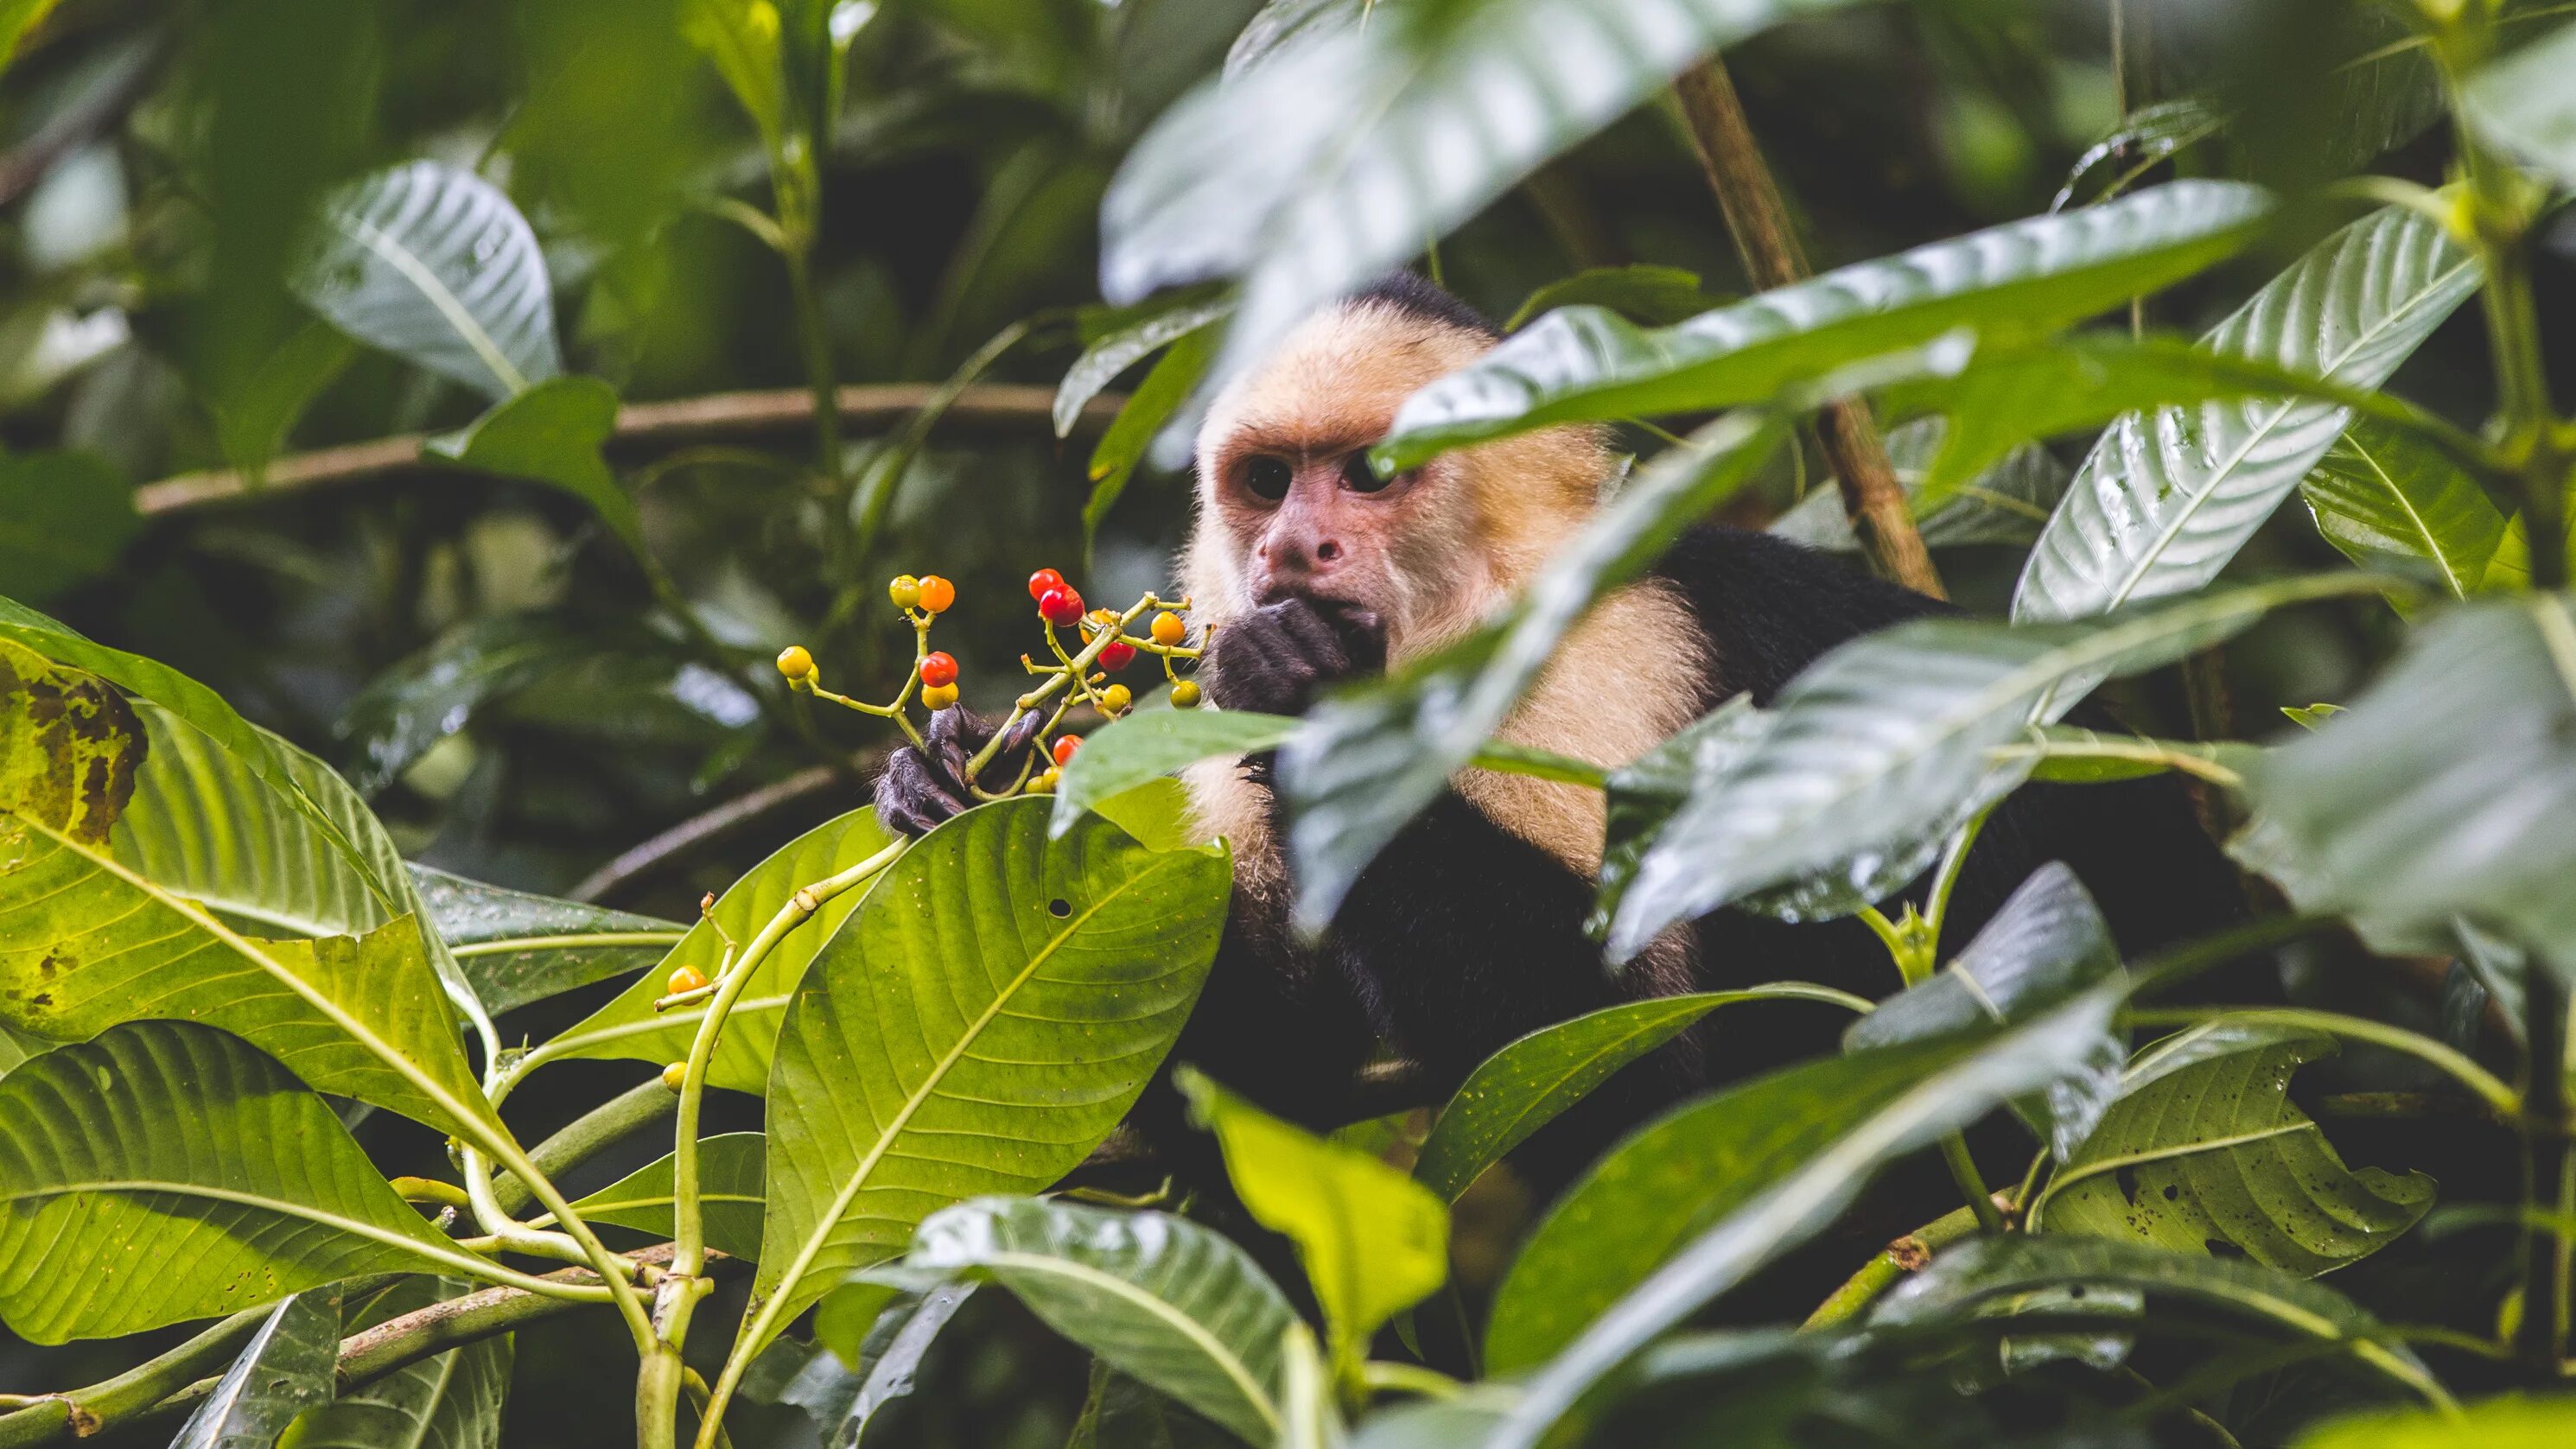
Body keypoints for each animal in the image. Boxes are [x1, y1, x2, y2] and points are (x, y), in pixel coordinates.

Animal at [875, 277, 2246, 1194]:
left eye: (1370, 474)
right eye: (1265, 483)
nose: (1289, 552)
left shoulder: (1605, 676)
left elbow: (1642, 1080)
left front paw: (1310, 698)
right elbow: (1270, 1092)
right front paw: (960, 790)